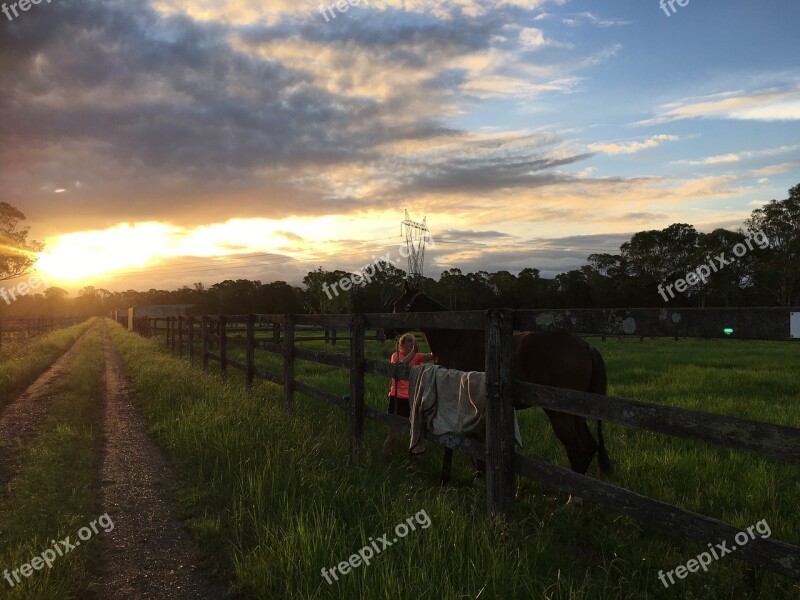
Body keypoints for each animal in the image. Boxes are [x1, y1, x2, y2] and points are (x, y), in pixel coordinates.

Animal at [384, 284, 608, 488]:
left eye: (396, 304)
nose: (386, 331)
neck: (455, 338)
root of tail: (585, 345)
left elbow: (452, 443)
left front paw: (445, 479)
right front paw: (478, 475)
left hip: (559, 413)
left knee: (576, 448)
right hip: (576, 414)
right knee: (588, 446)